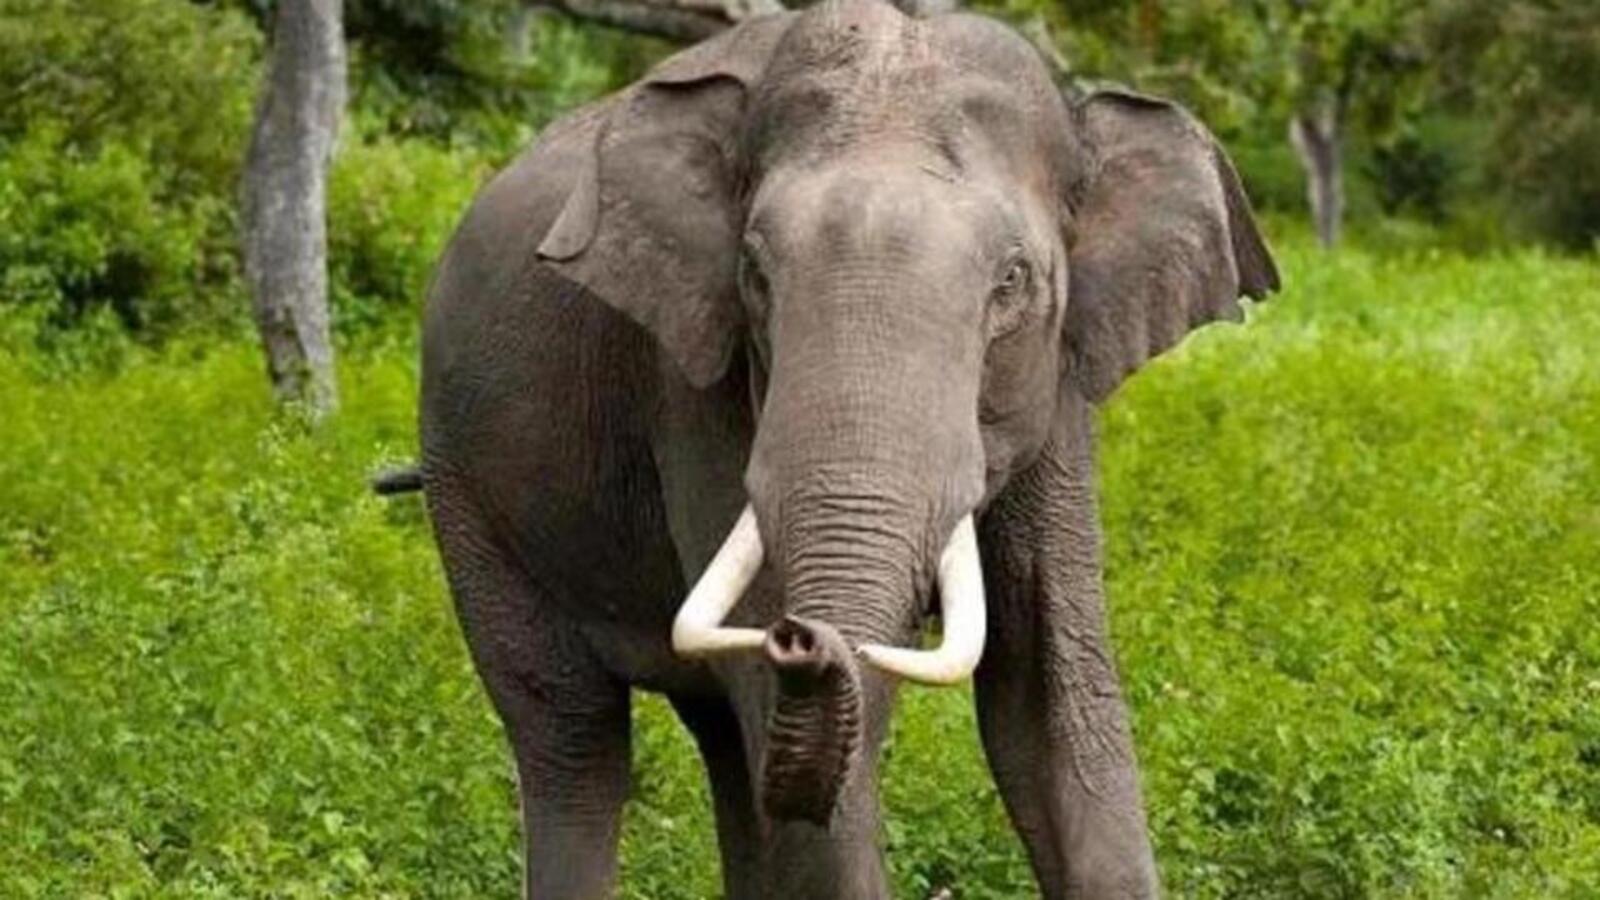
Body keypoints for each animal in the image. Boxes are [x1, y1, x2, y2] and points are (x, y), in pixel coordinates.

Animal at [413, 0, 1278, 897]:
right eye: (755, 274)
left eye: (1012, 283)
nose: (800, 635)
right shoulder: (691, 382)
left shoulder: (1061, 386)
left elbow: (1049, 700)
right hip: (464, 489)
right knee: (571, 735)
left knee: (724, 744)